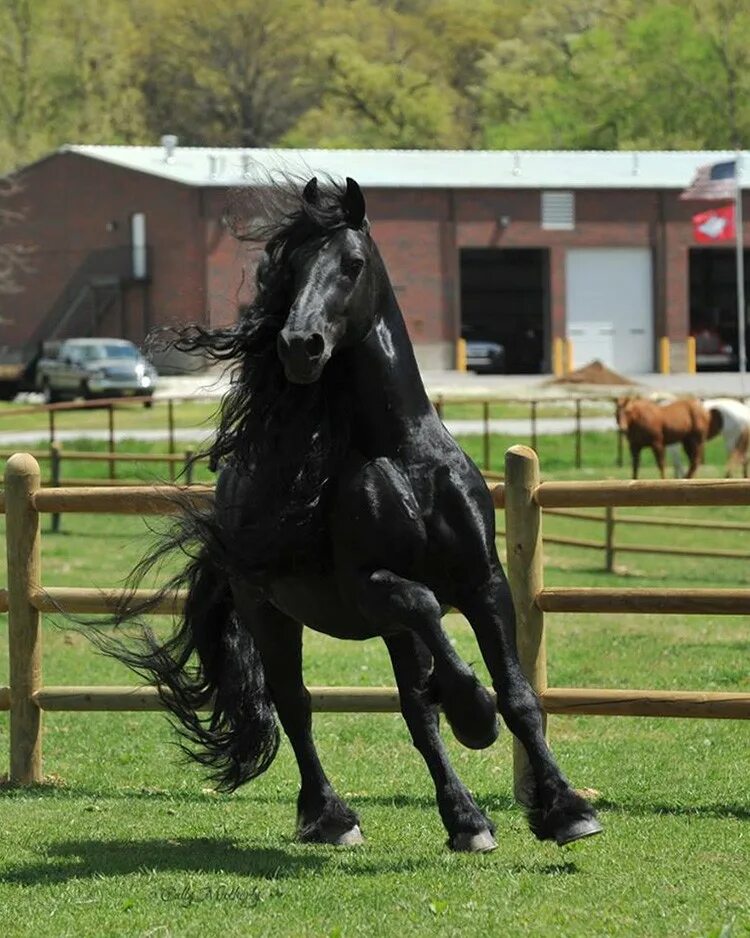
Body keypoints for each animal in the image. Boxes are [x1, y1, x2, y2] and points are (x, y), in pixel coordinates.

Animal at [103, 174, 604, 848]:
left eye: (353, 263)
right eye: (290, 269)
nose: (298, 346)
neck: (402, 454)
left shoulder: (482, 581)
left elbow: (517, 694)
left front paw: (565, 809)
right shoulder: (369, 588)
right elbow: (428, 614)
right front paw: (474, 712)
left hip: (379, 628)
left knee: (414, 710)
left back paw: (466, 820)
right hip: (270, 612)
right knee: (296, 703)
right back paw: (331, 817)